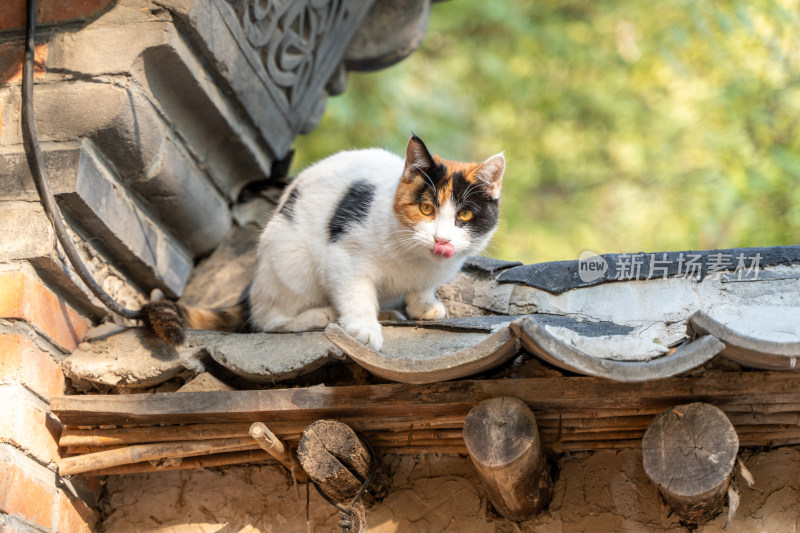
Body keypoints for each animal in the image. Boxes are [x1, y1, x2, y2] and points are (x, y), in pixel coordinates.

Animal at [141, 135, 504, 352]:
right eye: (426, 209)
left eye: (465, 216)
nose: (441, 239)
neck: (417, 260)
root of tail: (253, 289)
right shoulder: (342, 256)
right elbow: (355, 294)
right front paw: (364, 328)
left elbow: (421, 290)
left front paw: (423, 306)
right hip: (290, 262)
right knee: (267, 321)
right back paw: (323, 315)